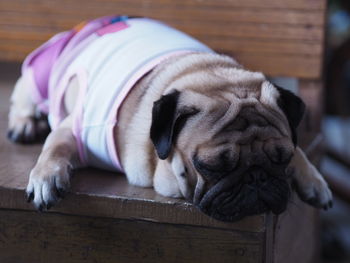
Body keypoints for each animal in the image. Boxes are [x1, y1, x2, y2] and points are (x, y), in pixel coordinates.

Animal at [6, 16, 332, 222]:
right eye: (210, 166)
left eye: (282, 159)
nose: (257, 178)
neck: (210, 76)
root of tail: (92, 23)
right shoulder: (75, 129)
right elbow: (56, 145)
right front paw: (46, 176)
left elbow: (301, 152)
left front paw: (313, 180)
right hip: (42, 71)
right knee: (25, 93)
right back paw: (24, 123)